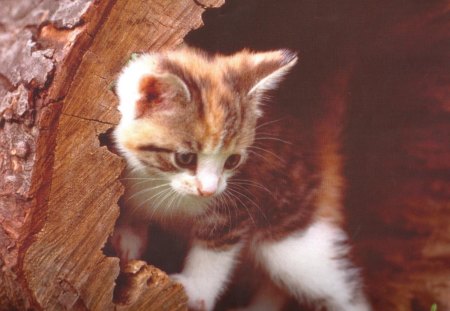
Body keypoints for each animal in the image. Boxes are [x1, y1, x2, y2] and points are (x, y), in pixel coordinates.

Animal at [110, 47, 370, 311]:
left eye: (232, 161)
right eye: (185, 158)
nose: (208, 190)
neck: (161, 183)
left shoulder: (236, 205)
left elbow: (216, 248)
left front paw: (197, 291)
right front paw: (127, 236)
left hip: (290, 234)